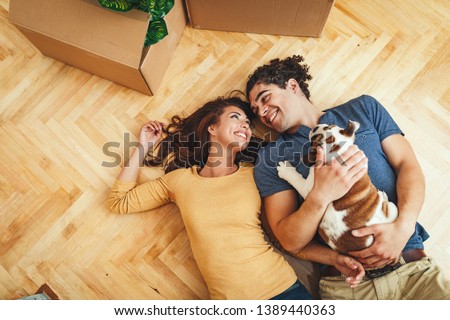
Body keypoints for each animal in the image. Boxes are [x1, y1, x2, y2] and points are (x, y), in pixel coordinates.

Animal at [278, 121, 398, 256]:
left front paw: (285, 169)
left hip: (393, 208)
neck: (338, 154)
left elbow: (296, 178)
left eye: (314, 141)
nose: (315, 128)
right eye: (328, 127)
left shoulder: (309, 188)